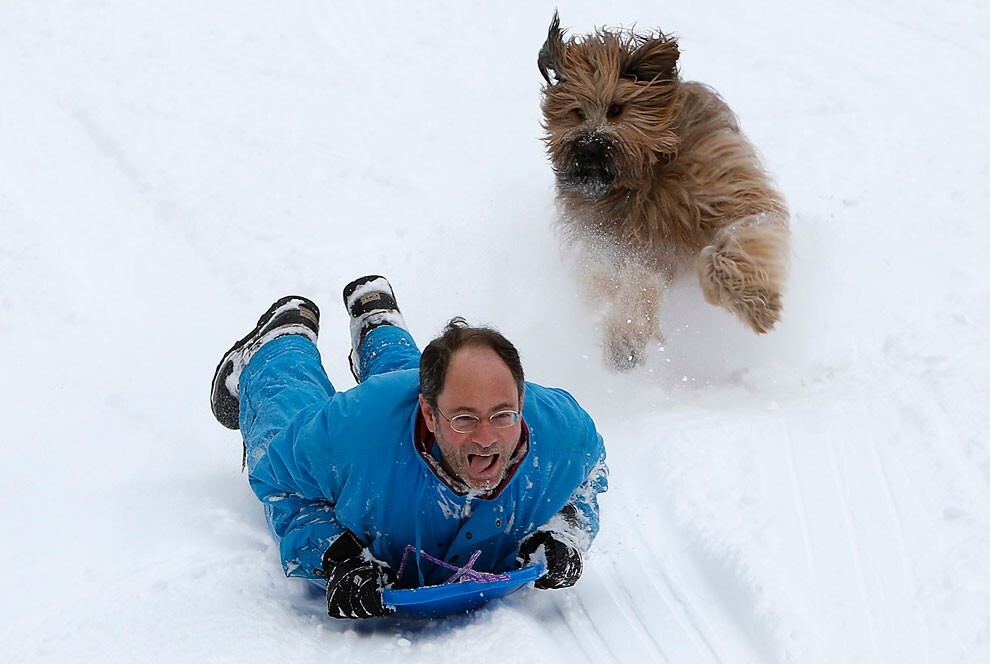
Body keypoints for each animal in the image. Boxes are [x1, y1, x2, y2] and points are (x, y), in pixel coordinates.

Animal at [540, 13, 788, 370]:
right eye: (577, 112)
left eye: (616, 109)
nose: (587, 148)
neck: (645, 176)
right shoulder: (611, 243)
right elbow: (631, 283)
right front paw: (623, 338)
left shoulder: (724, 189)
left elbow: (736, 240)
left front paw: (755, 304)